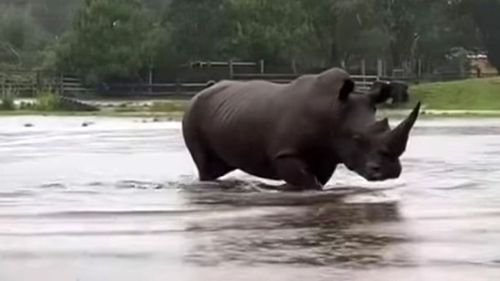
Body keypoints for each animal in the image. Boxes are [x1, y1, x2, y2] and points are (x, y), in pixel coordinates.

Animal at [182, 68, 420, 190]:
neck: (333, 111)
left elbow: (315, 182)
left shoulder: (328, 155)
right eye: (357, 137)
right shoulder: (285, 153)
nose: (390, 171)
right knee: (205, 167)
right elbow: (308, 183)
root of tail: (200, 92)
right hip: (192, 113)